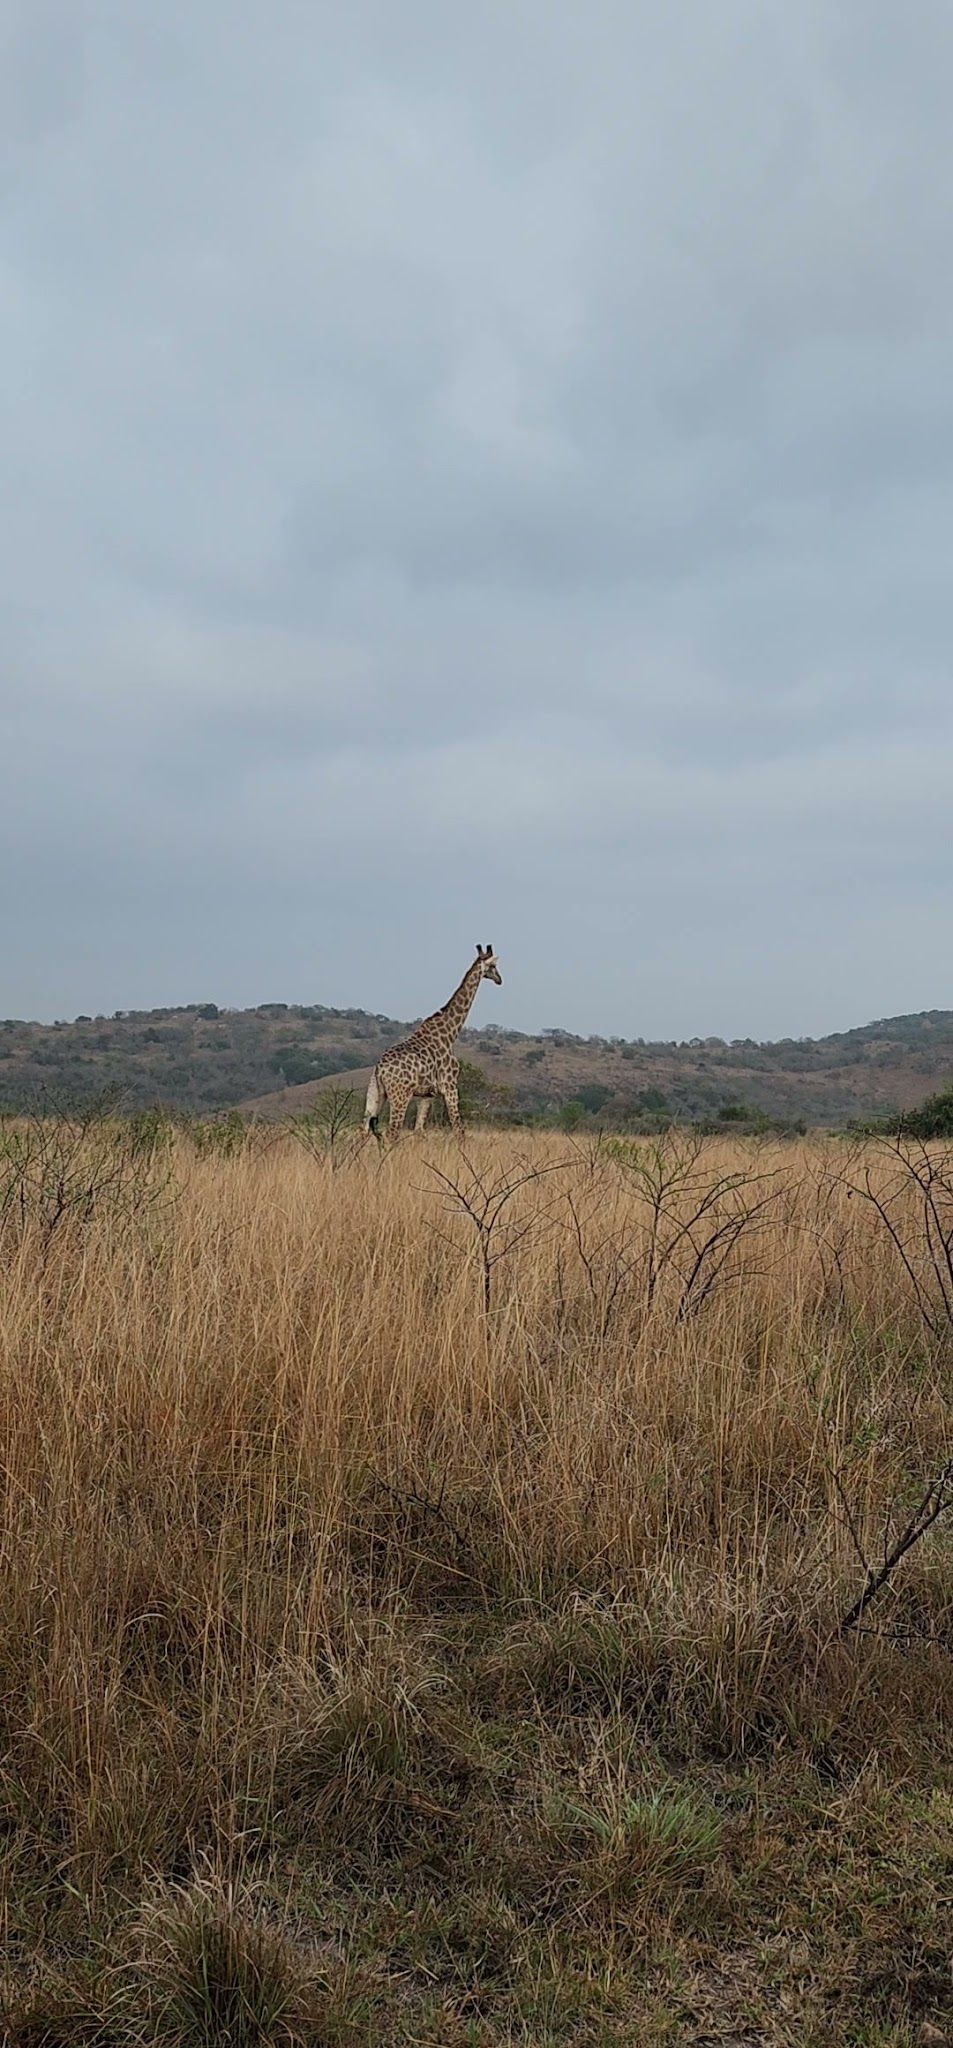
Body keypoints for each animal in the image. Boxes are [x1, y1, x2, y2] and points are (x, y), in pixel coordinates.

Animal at [360, 946, 502, 1146]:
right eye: (494, 966)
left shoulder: (427, 1095)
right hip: (400, 1095)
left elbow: (420, 1130)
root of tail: (380, 1069)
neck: (450, 1033)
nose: (499, 979)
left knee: (363, 1131)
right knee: (391, 1133)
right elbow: (459, 1129)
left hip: (375, 1093)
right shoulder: (450, 1086)